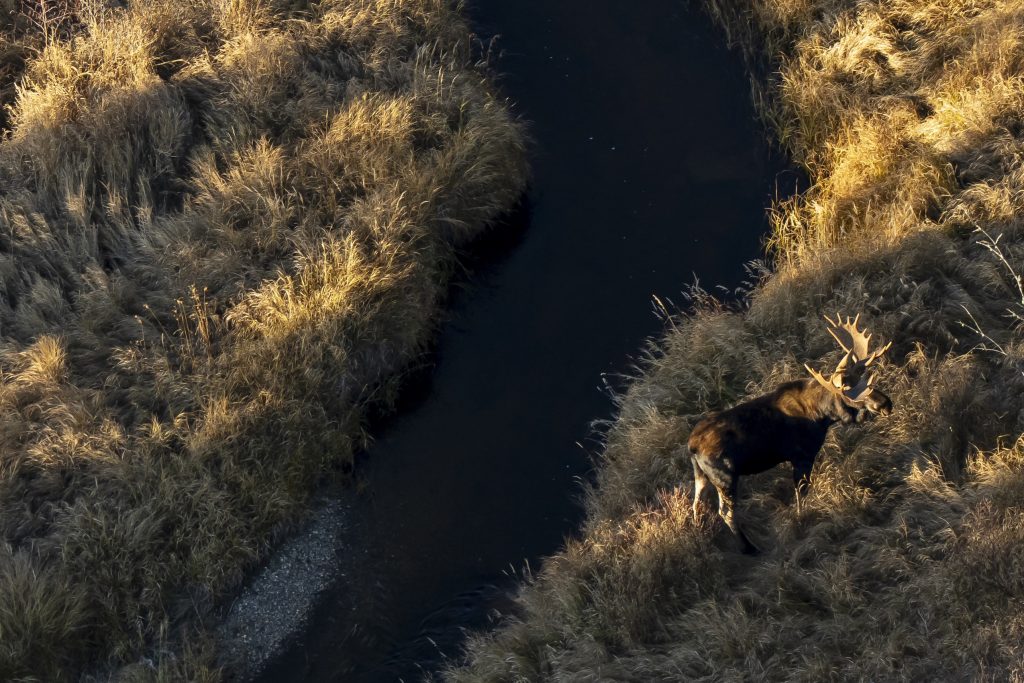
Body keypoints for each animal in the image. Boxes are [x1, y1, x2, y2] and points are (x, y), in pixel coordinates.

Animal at [687, 314, 893, 554]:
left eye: (867, 380)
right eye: (854, 396)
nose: (886, 404)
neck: (822, 415)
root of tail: (692, 447)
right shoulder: (802, 455)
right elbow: (801, 493)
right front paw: (802, 517)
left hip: (701, 475)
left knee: (697, 504)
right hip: (725, 477)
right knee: (725, 512)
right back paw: (750, 548)